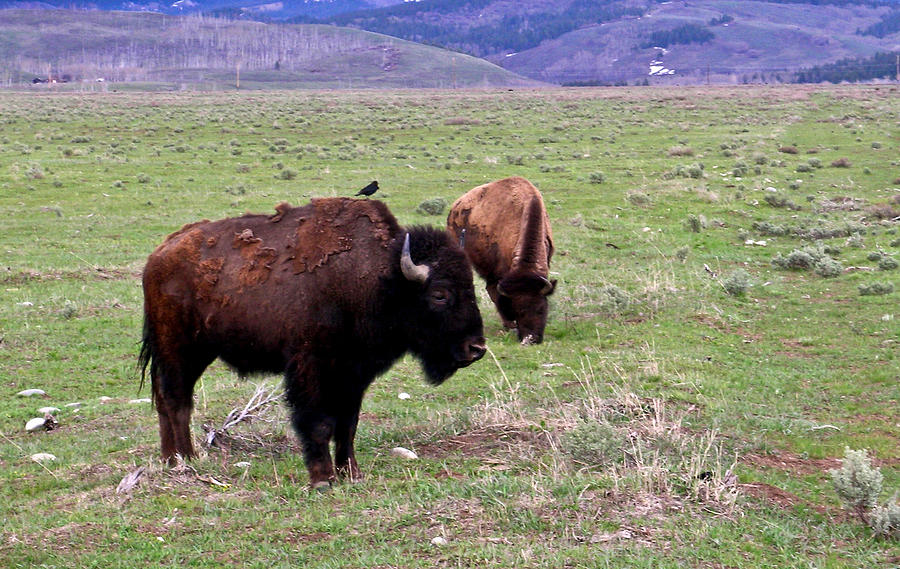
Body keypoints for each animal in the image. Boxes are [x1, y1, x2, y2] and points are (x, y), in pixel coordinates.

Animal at [140, 197, 486, 486]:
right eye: (439, 294)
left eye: (471, 286)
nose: (476, 349)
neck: (377, 277)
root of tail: (159, 255)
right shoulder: (311, 369)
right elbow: (319, 422)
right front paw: (322, 479)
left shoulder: (354, 374)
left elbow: (348, 424)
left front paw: (352, 474)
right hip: (178, 349)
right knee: (176, 400)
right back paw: (187, 458)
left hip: (195, 353)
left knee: (167, 398)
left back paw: (172, 459)